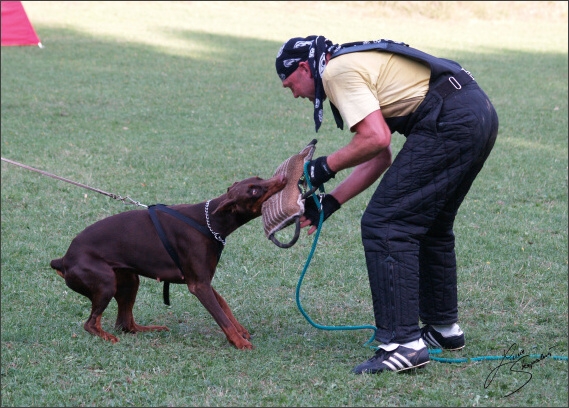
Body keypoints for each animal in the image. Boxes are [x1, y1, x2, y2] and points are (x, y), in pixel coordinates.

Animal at [51, 174, 286, 350]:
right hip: (106, 281)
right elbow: (222, 317)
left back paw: (148, 329)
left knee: (125, 324)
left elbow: (225, 307)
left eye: (260, 178)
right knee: (91, 324)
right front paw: (239, 342)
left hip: (128, 280)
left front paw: (241, 331)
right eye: (254, 191)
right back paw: (107, 337)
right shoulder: (199, 285)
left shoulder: (204, 279)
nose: (283, 177)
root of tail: (64, 259)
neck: (211, 221)